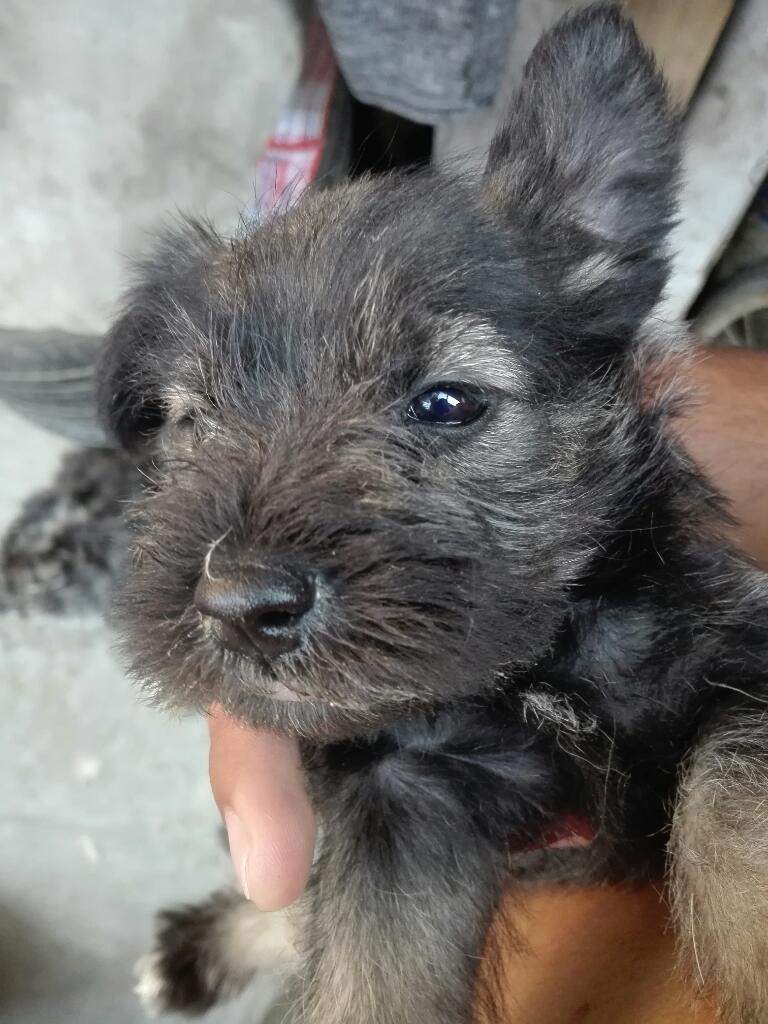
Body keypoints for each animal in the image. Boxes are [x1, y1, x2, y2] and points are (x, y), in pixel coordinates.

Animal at [99, 8, 768, 1024]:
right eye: (195, 419)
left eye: (447, 402)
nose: (239, 605)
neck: (529, 673)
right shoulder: (398, 795)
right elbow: (359, 978)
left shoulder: (735, 658)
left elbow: (736, 811)